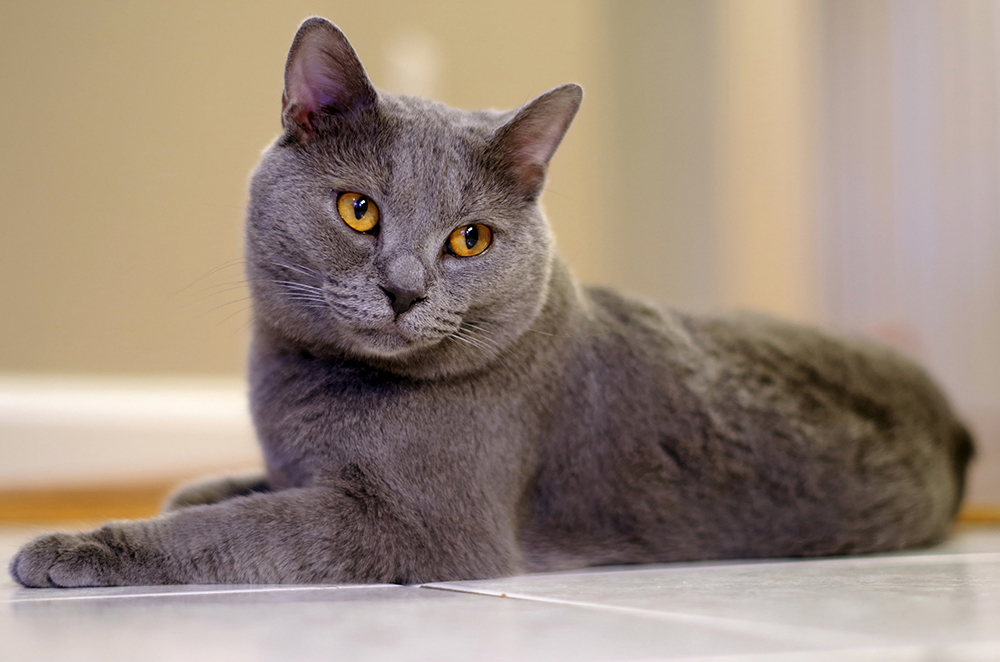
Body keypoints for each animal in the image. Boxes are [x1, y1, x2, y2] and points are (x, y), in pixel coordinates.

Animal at [11, 14, 972, 588]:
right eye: (359, 210)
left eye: (469, 239)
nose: (404, 289)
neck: (306, 393)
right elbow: (237, 494)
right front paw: (194, 487)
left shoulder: (418, 528)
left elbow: (242, 530)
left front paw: (76, 546)